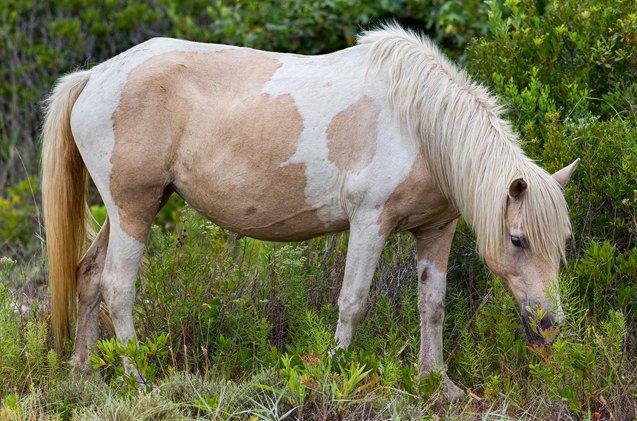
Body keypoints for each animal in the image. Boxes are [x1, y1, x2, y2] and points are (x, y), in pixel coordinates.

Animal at [39, 24, 576, 398]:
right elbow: (353, 301)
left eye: (563, 244)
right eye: (517, 240)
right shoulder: (370, 223)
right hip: (134, 207)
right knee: (118, 289)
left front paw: (437, 385)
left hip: (132, 208)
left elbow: (433, 306)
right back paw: (139, 380)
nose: (549, 325)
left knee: (89, 276)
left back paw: (84, 375)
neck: (419, 123)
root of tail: (94, 76)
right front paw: (337, 372)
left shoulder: (435, 230)